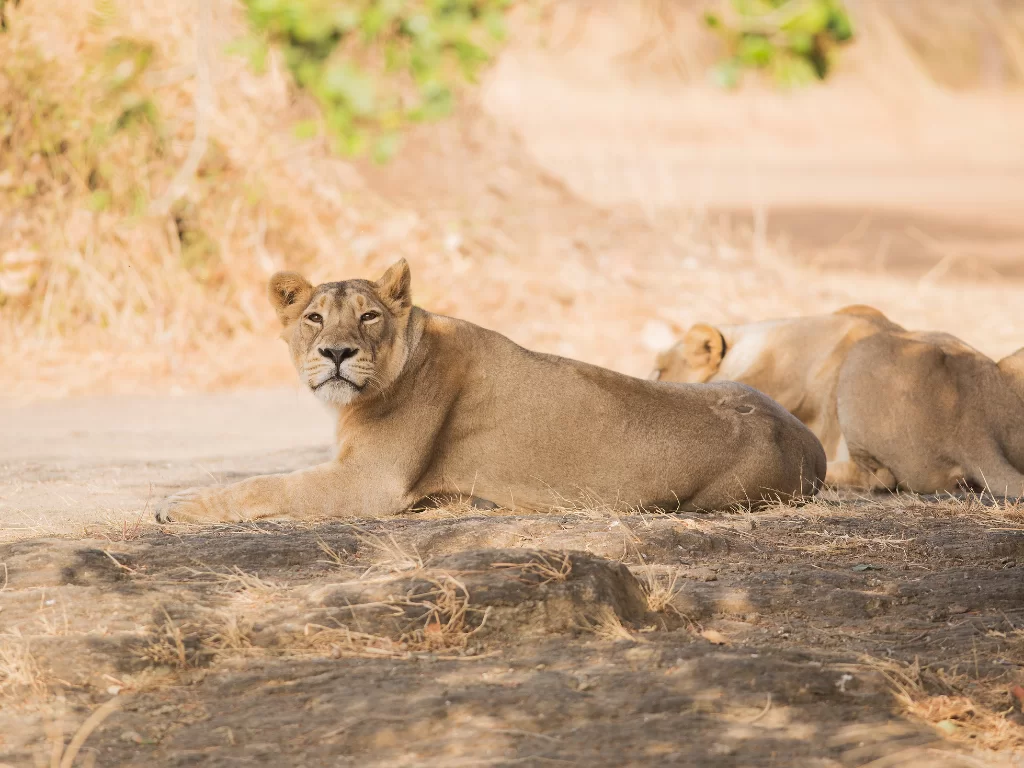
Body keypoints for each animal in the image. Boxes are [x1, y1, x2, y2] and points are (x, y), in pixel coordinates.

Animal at [156, 259, 825, 523]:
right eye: (314, 319)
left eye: (368, 317)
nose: (337, 354)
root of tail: (812, 445)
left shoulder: (369, 482)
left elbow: (263, 485)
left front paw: (177, 505)